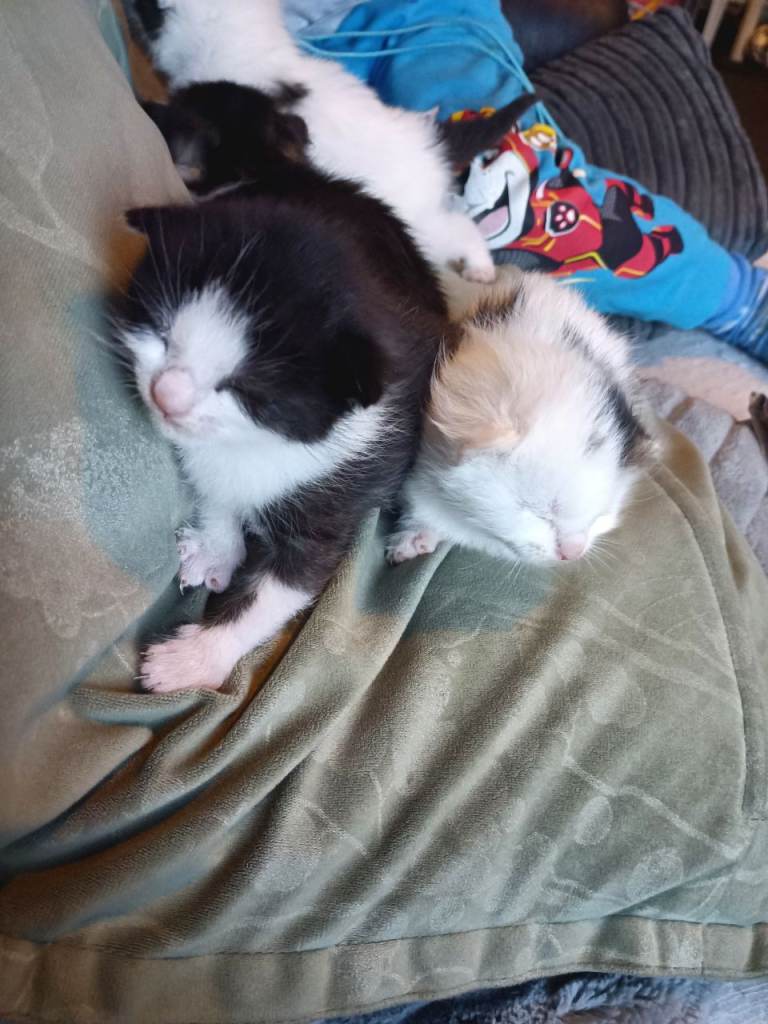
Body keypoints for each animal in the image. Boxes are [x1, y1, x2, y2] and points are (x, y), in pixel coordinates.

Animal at [115, 100, 448, 693]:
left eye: (248, 389)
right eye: (161, 333)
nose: (166, 396)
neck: (261, 443)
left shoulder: (348, 476)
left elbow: (278, 589)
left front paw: (191, 660)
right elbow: (216, 487)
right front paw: (217, 548)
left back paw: (420, 531)